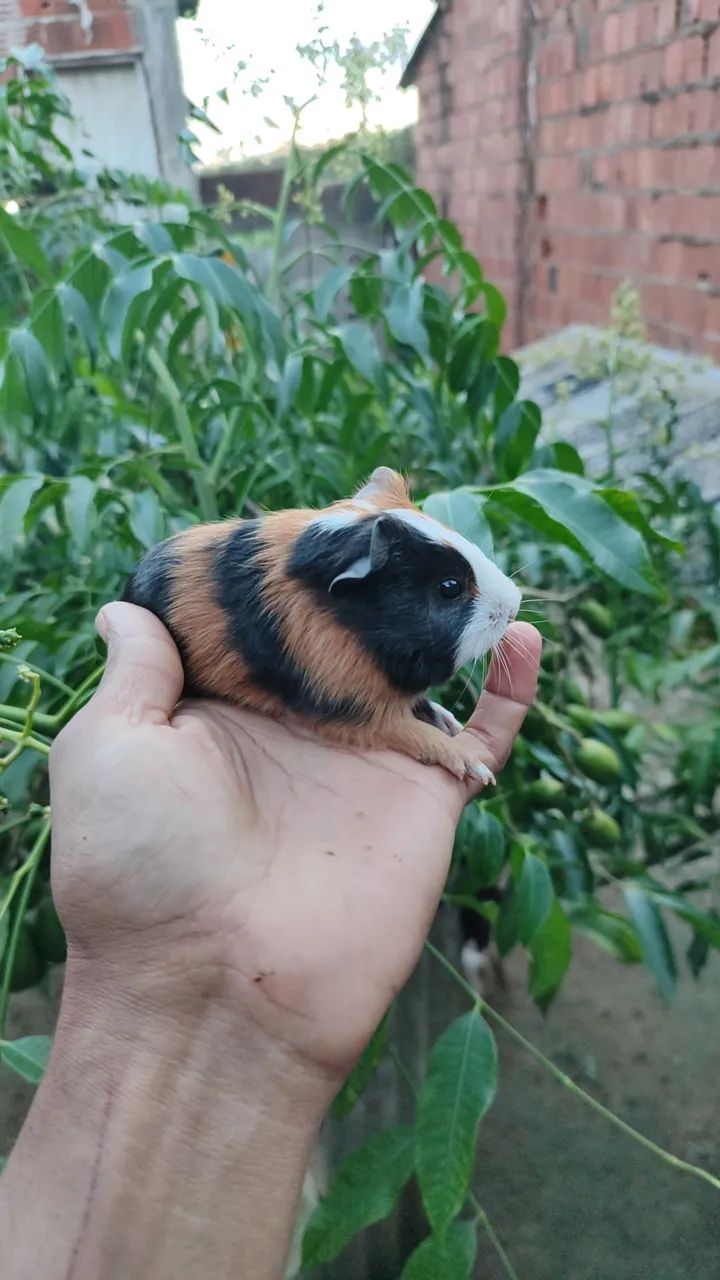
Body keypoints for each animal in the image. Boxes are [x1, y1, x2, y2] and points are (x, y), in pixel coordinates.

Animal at [123, 467, 521, 783]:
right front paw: (477, 769)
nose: (514, 605)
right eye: (449, 587)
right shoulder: (352, 708)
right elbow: (412, 732)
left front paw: (450, 721)